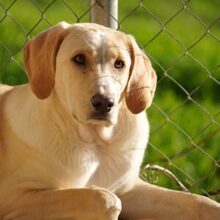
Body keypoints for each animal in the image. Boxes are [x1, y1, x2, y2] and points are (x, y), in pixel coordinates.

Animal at [0, 21, 220, 218]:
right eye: (79, 58)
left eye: (119, 64)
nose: (105, 103)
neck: (96, 143)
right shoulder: (15, 198)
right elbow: (106, 199)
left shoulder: (127, 187)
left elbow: (199, 201)